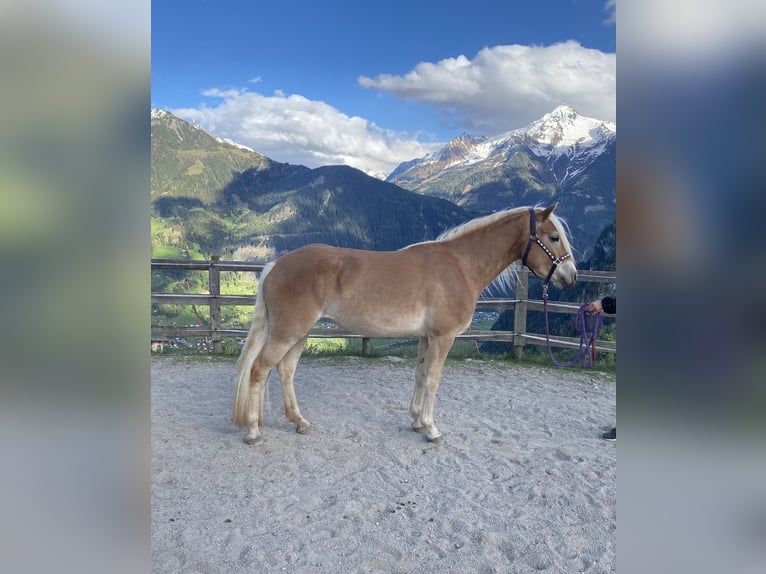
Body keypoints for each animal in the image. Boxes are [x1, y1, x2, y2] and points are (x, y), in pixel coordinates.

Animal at [233, 203, 577, 445]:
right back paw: (253, 431)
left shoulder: (426, 338)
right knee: (259, 370)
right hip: (287, 332)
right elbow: (434, 380)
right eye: (553, 237)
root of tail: (277, 263)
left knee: (284, 371)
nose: (571, 276)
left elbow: (420, 376)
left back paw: (298, 422)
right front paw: (432, 429)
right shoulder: (443, 337)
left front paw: (416, 421)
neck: (460, 266)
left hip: (299, 334)